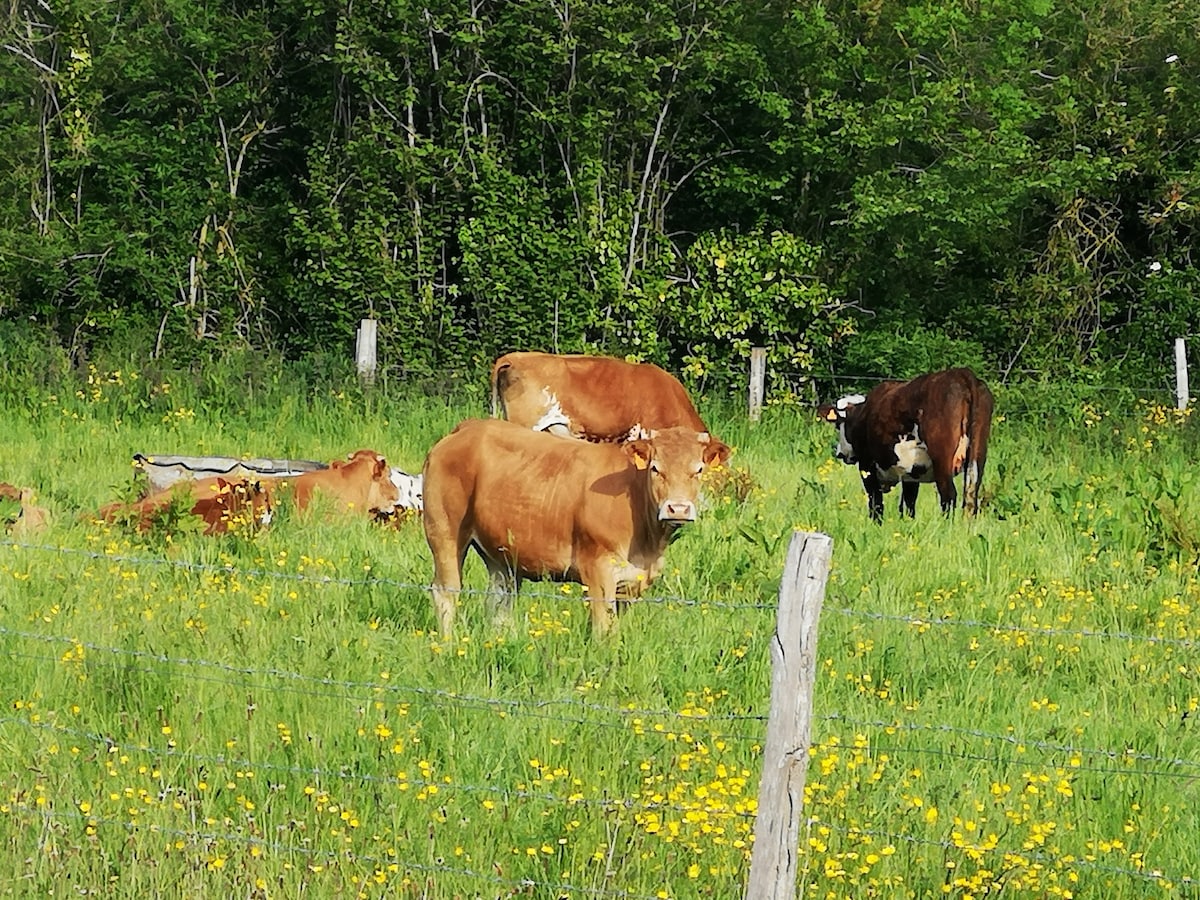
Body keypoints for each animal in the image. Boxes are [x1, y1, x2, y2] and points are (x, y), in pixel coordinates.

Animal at [420, 420, 729, 638]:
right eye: (655, 468)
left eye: (698, 470)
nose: (678, 509)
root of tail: (466, 429)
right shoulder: (598, 571)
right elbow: (604, 630)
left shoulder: (633, 582)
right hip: (444, 532)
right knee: (446, 592)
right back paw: (447, 645)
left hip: (502, 556)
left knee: (500, 603)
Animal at [816, 367, 993, 520]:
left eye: (838, 425)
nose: (839, 453)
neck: (863, 414)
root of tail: (961, 373)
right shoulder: (912, 472)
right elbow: (909, 504)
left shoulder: (867, 466)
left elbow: (876, 504)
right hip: (977, 458)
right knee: (970, 497)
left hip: (942, 460)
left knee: (949, 497)